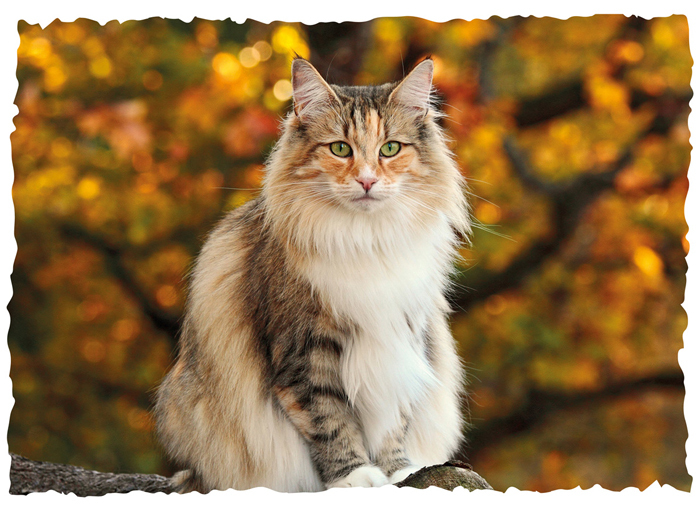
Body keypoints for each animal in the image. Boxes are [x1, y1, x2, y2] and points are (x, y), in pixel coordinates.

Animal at [153, 56, 470, 492]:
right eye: (340, 148)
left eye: (390, 149)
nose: (367, 180)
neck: (366, 239)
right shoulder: (304, 350)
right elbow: (330, 421)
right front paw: (355, 477)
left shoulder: (401, 338)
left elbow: (394, 422)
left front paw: (399, 472)